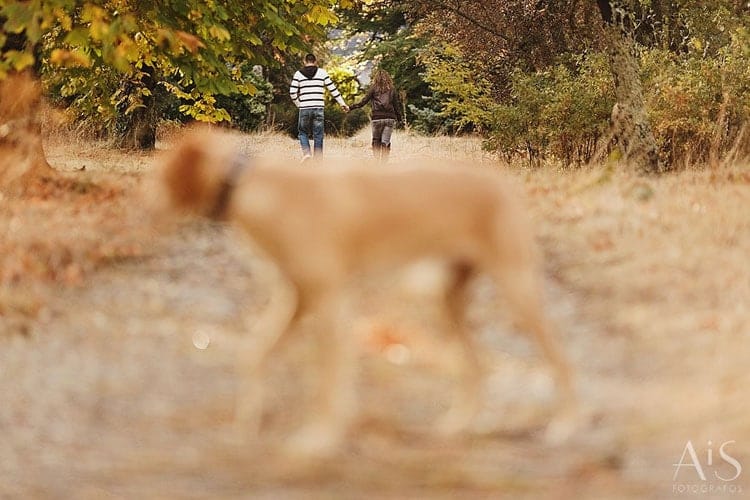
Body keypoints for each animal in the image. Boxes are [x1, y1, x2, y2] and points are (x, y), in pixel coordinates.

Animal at [162, 126, 580, 454]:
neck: (264, 189)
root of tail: (498, 182)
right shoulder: (297, 299)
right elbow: (255, 353)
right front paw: (248, 423)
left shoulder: (329, 301)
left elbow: (329, 374)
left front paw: (320, 438)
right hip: (447, 301)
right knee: (478, 365)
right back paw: (456, 427)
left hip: (517, 288)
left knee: (560, 356)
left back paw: (563, 426)